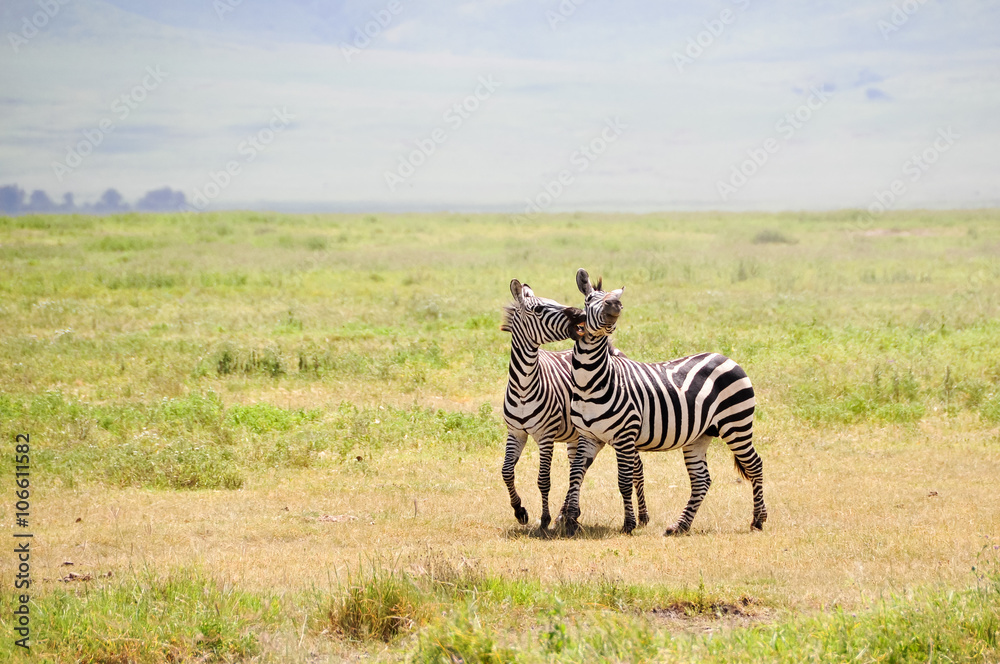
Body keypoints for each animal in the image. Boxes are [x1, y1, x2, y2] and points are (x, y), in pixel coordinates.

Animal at [500, 279, 648, 530]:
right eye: (538, 309)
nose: (580, 314)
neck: (523, 386)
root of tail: (615, 351)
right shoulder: (516, 432)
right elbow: (507, 472)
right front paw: (520, 511)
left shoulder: (546, 435)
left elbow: (543, 479)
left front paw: (545, 519)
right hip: (579, 436)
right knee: (579, 470)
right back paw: (568, 514)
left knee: (635, 467)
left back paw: (643, 516)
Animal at [560, 268, 767, 536]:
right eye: (589, 300)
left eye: (615, 299)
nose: (615, 305)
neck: (590, 382)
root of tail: (726, 357)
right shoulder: (588, 436)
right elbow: (576, 474)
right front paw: (570, 519)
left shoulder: (625, 435)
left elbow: (624, 481)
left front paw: (629, 524)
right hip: (700, 435)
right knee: (702, 480)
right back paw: (680, 525)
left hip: (737, 424)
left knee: (755, 465)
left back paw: (758, 519)